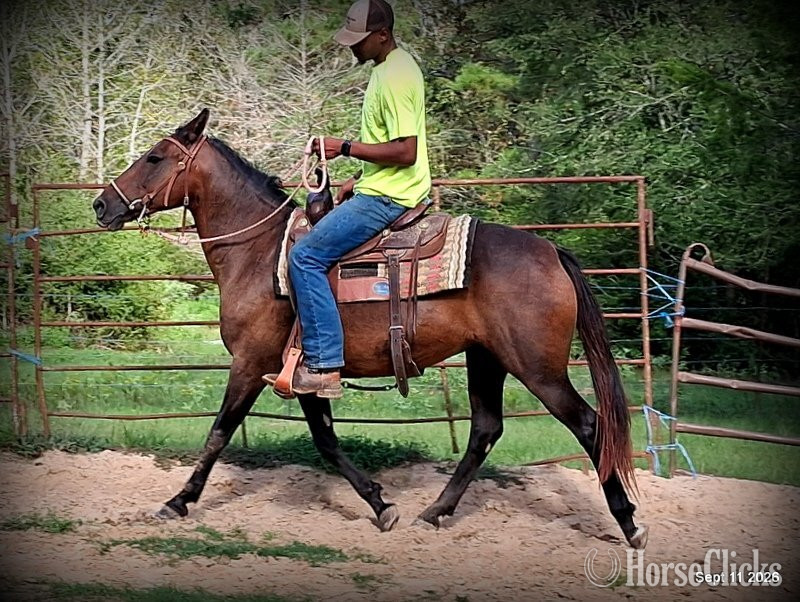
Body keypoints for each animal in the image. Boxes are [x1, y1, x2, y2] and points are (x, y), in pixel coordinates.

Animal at [92, 109, 648, 548]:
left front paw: (178, 501)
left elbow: (218, 433)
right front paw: (381, 504)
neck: (257, 253)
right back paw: (435, 512)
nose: (101, 204)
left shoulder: (250, 363)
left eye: (155, 158)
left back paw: (629, 523)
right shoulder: (305, 373)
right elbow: (326, 440)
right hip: (486, 358)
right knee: (486, 430)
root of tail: (550, 249)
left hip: (538, 367)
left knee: (590, 426)